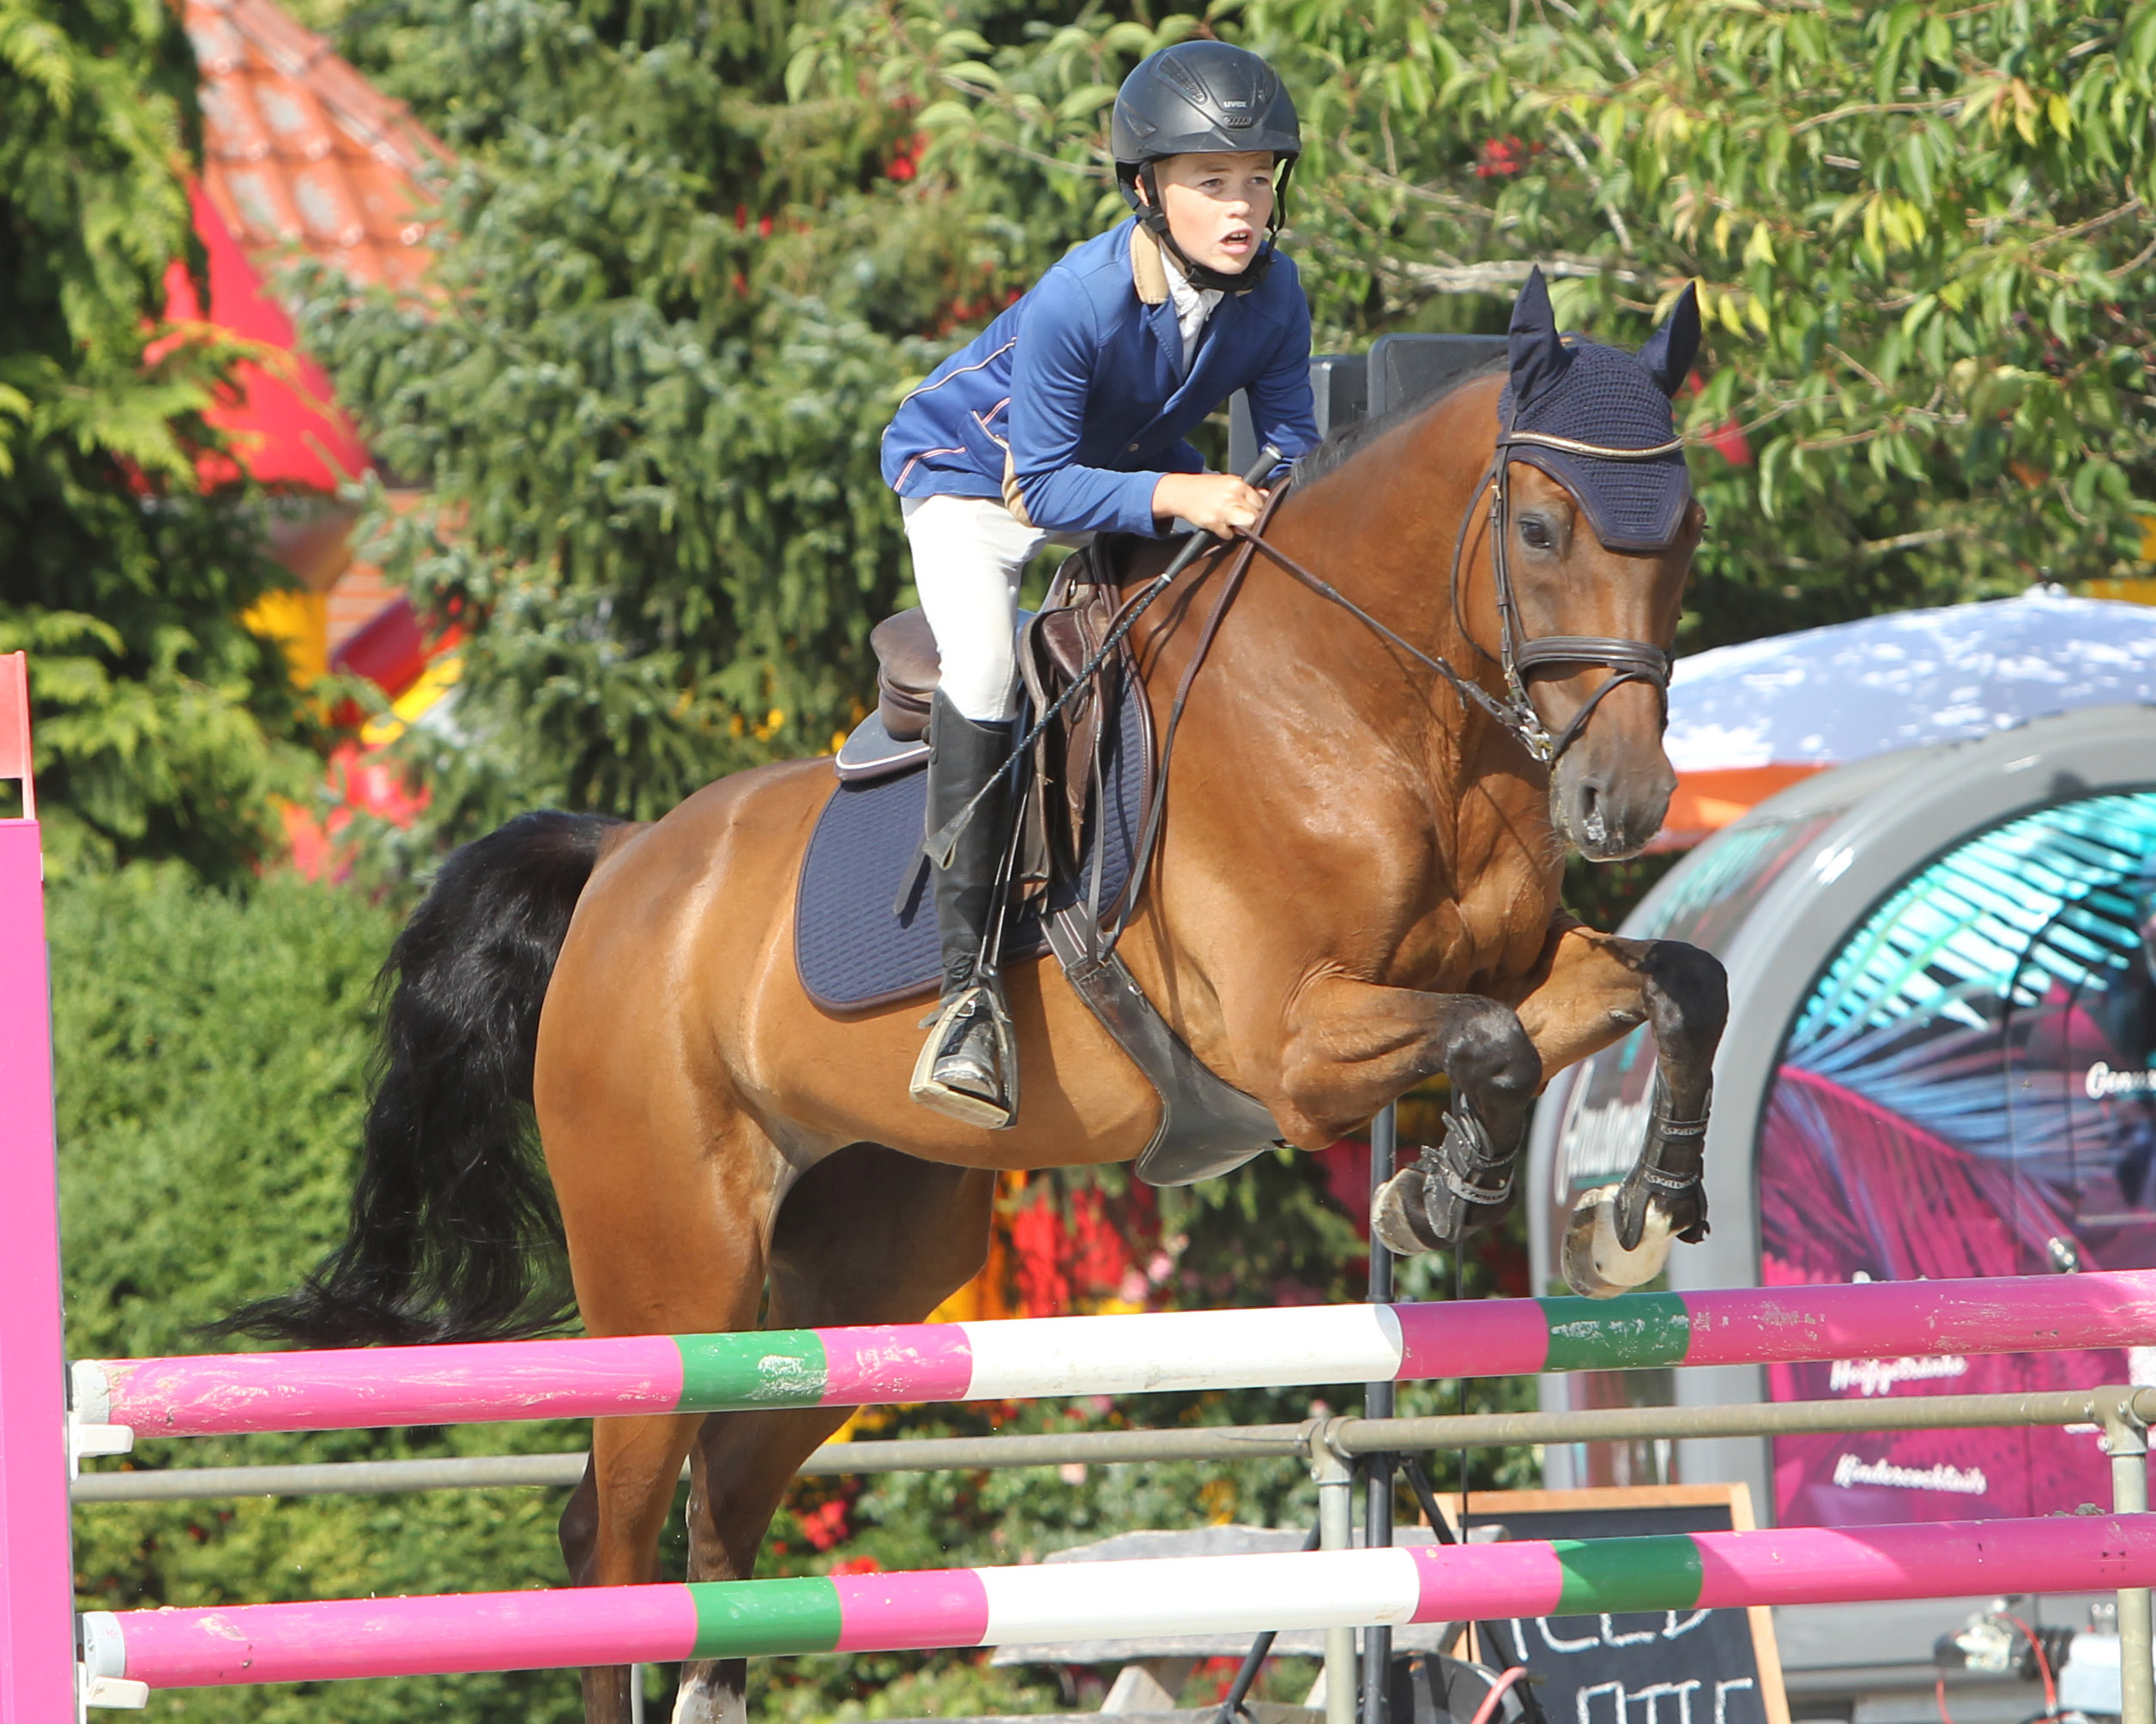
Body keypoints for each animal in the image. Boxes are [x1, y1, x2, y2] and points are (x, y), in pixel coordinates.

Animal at [236, 269, 1724, 1724]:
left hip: (872, 1268)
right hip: (673, 1273)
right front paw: (1441, 1192)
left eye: (1687, 528)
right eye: (1540, 527)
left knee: (726, 1494)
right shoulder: (1289, 1046)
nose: (1624, 800)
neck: (1380, 711)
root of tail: (621, 864)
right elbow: (1492, 1046)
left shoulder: (1513, 966)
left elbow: (1672, 986)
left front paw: (1638, 1213)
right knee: (612, 1542)